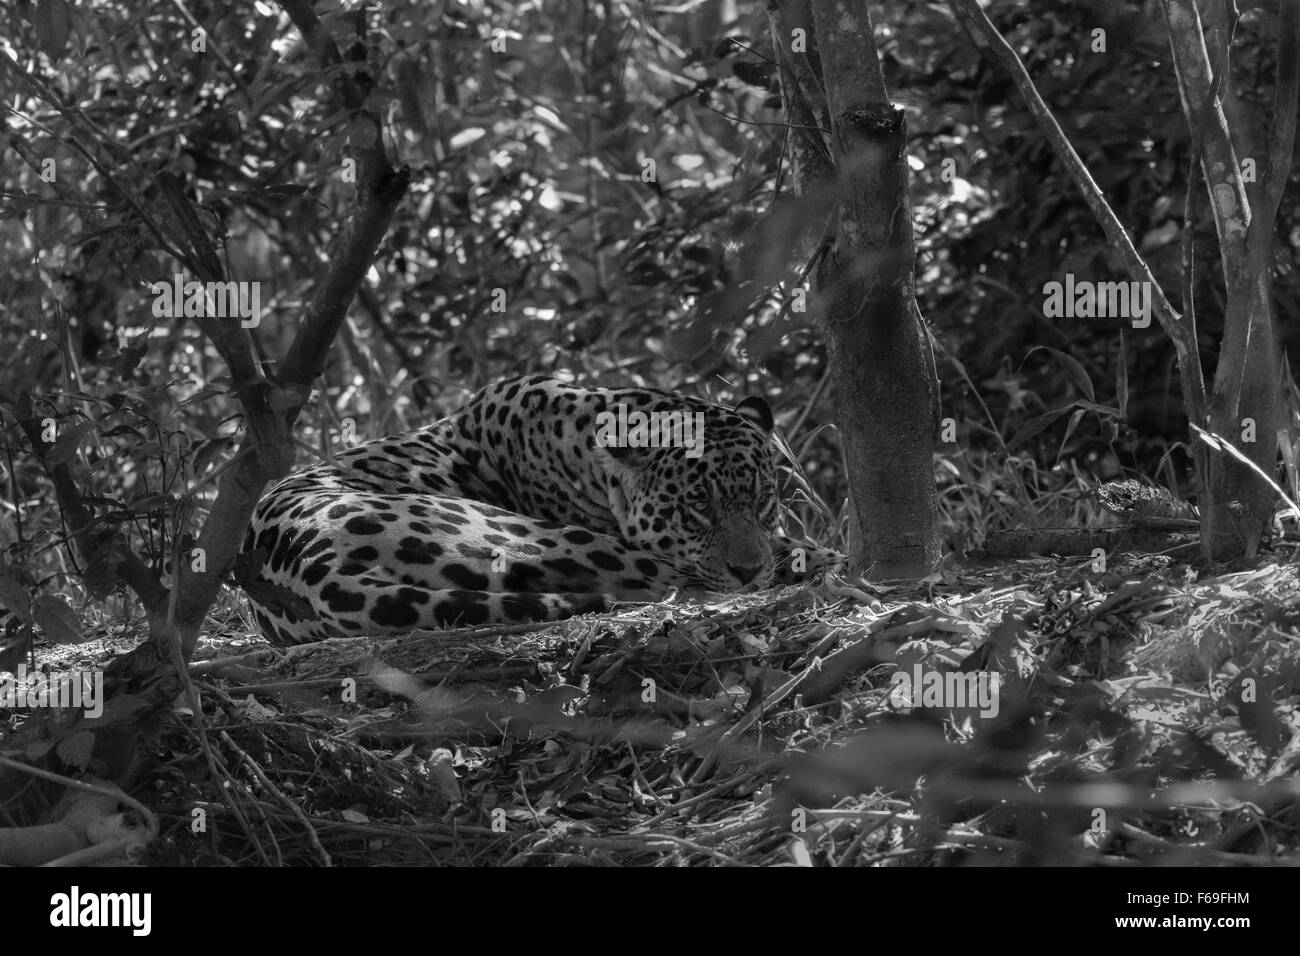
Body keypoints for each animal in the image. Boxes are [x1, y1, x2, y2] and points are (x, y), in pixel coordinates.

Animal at [239, 374, 843, 645]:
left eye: (763, 499)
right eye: (696, 508)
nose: (747, 569)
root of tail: (311, 568)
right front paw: (812, 559)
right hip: (557, 542)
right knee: (669, 583)